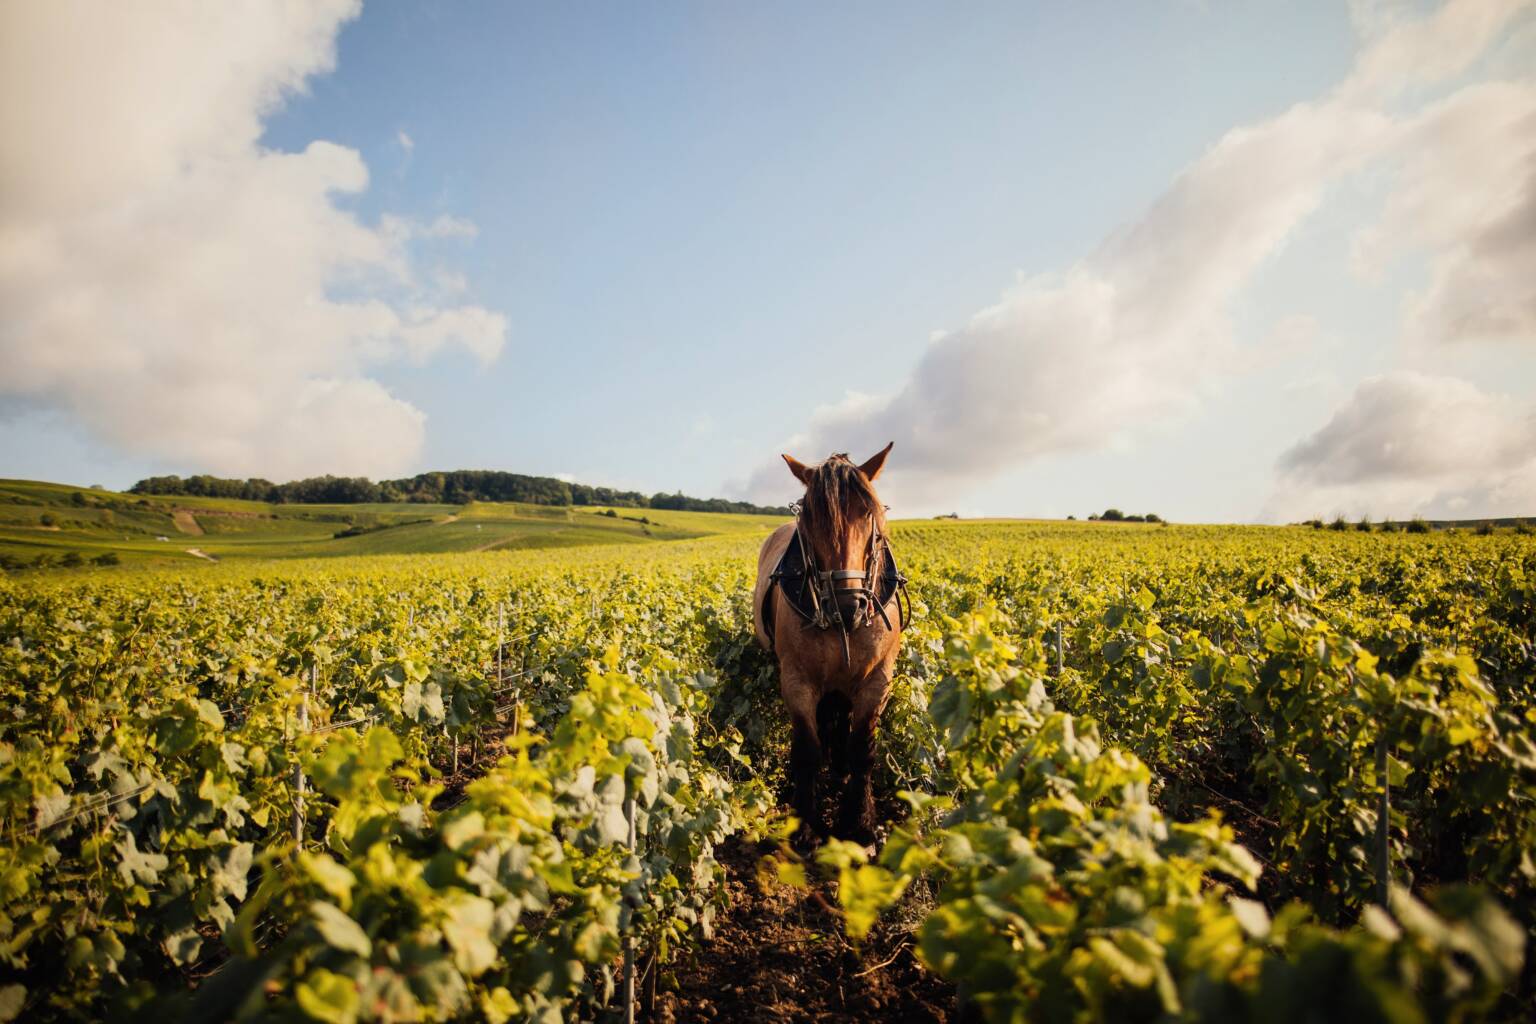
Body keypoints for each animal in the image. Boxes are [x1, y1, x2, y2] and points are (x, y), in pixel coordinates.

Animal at [753, 443, 908, 845]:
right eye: (808, 520)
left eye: (869, 514)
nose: (847, 603)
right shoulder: (796, 680)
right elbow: (807, 749)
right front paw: (805, 823)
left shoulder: (877, 681)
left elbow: (862, 748)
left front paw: (860, 821)